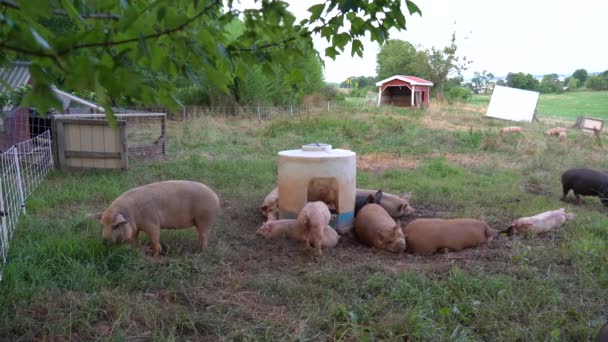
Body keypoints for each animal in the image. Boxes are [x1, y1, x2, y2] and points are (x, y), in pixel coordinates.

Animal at [90, 180, 221, 255]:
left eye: (116, 226)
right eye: (103, 225)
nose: (104, 241)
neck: (131, 214)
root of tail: (215, 196)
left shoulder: (151, 222)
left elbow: (155, 237)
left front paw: (156, 254)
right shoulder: (136, 228)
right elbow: (134, 238)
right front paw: (135, 249)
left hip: (204, 218)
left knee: (204, 235)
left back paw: (201, 251)